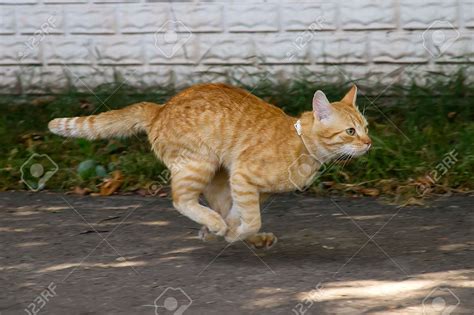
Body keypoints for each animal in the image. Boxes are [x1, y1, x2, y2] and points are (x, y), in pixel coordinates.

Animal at [49, 83, 370, 249]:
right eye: (350, 132)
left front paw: (231, 232)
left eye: (366, 127)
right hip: (198, 164)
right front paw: (232, 233)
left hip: (217, 176)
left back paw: (228, 232)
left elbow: (240, 214)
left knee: (216, 206)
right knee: (181, 199)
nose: (368, 143)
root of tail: (161, 108)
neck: (301, 143)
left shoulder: (248, 189)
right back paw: (216, 226)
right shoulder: (242, 176)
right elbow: (250, 219)